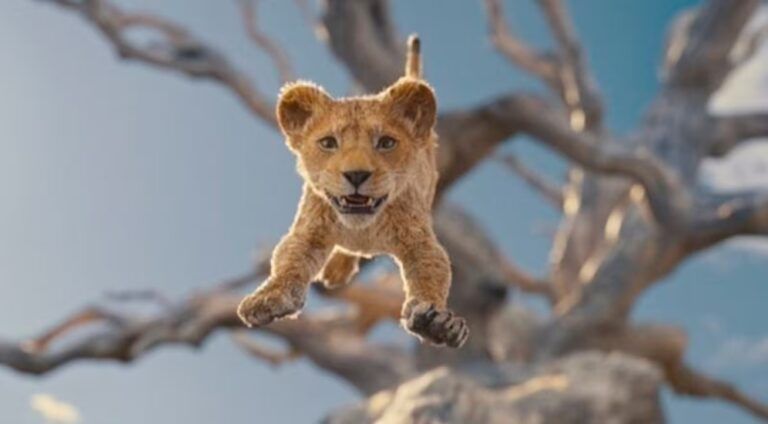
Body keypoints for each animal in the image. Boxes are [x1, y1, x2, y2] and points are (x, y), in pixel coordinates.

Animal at [237, 35, 468, 348]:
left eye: (386, 142)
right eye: (328, 143)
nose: (356, 174)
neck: (362, 228)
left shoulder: (420, 241)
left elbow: (431, 274)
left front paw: (438, 324)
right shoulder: (308, 231)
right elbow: (288, 263)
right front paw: (268, 298)